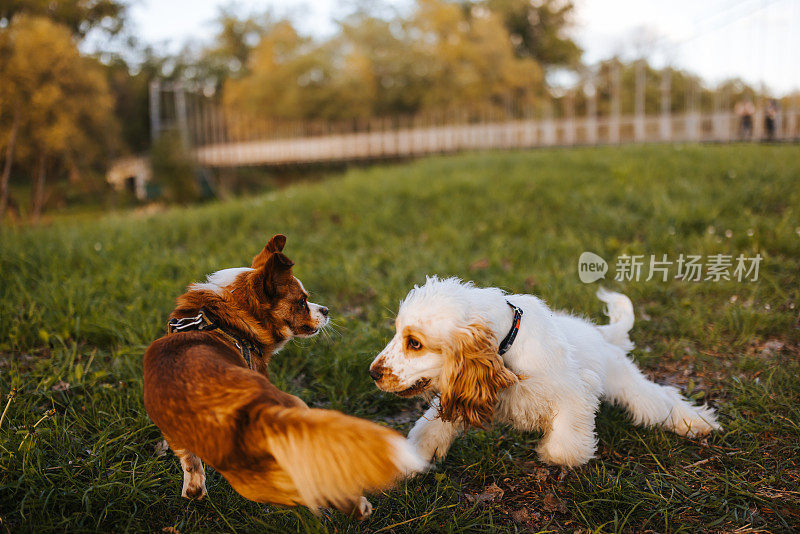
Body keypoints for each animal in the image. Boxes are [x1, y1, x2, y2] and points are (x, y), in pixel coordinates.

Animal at [142, 236, 424, 520]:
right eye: (302, 301)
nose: (326, 309)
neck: (224, 319)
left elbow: (190, 466)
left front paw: (195, 489)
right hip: (296, 412)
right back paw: (358, 506)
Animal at [368, 278, 720, 472]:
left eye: (415, 343)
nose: (372, 373)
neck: (507, 344)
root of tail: (599, 332)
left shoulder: (575, 393)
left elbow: (564, 447)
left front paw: (548, 452)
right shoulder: (468, 390)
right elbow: (431, 428)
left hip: (625, 381)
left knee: (660, 400)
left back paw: (696, 423)